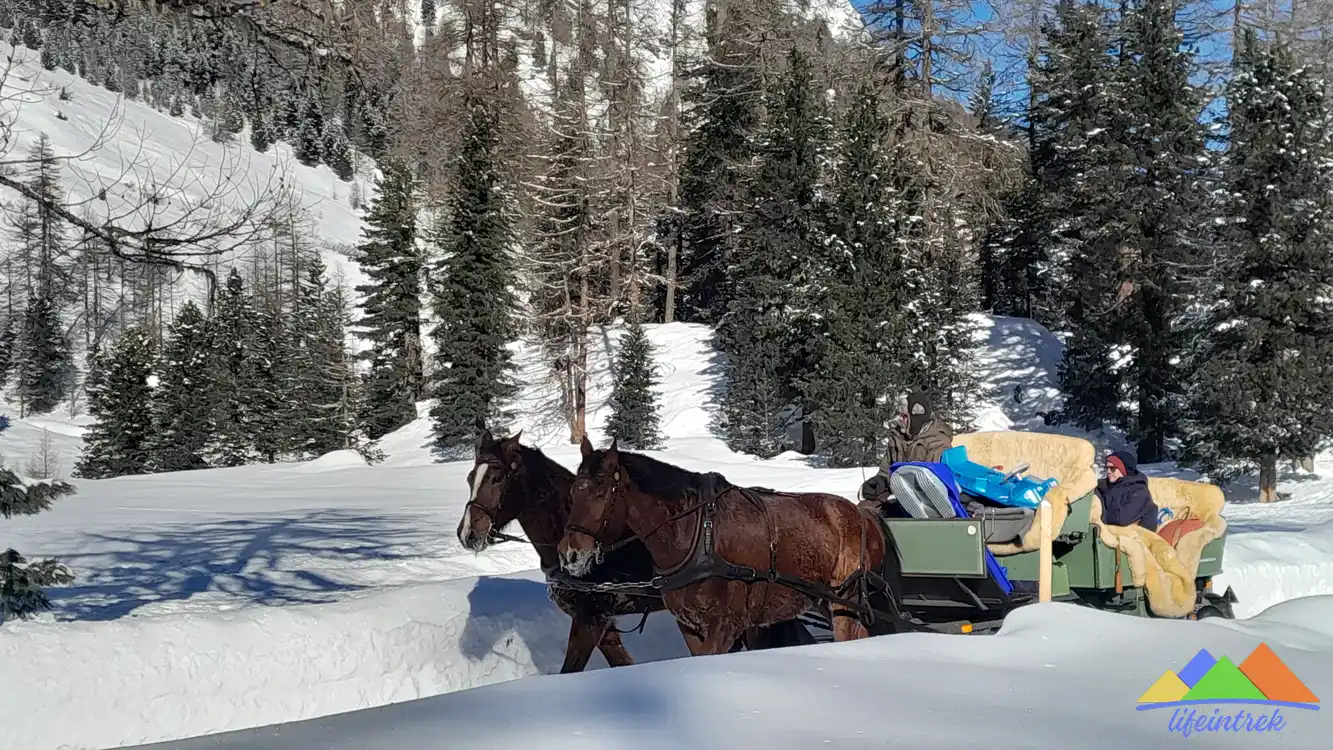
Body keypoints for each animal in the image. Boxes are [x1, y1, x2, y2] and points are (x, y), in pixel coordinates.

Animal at [551, 436, 906, 655]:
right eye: (572, 491)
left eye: (601, 493)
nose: (571, 553)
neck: (698, 535)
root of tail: (862, 515)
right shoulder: (690, 626)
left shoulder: (724, 625)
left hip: (847, 599)